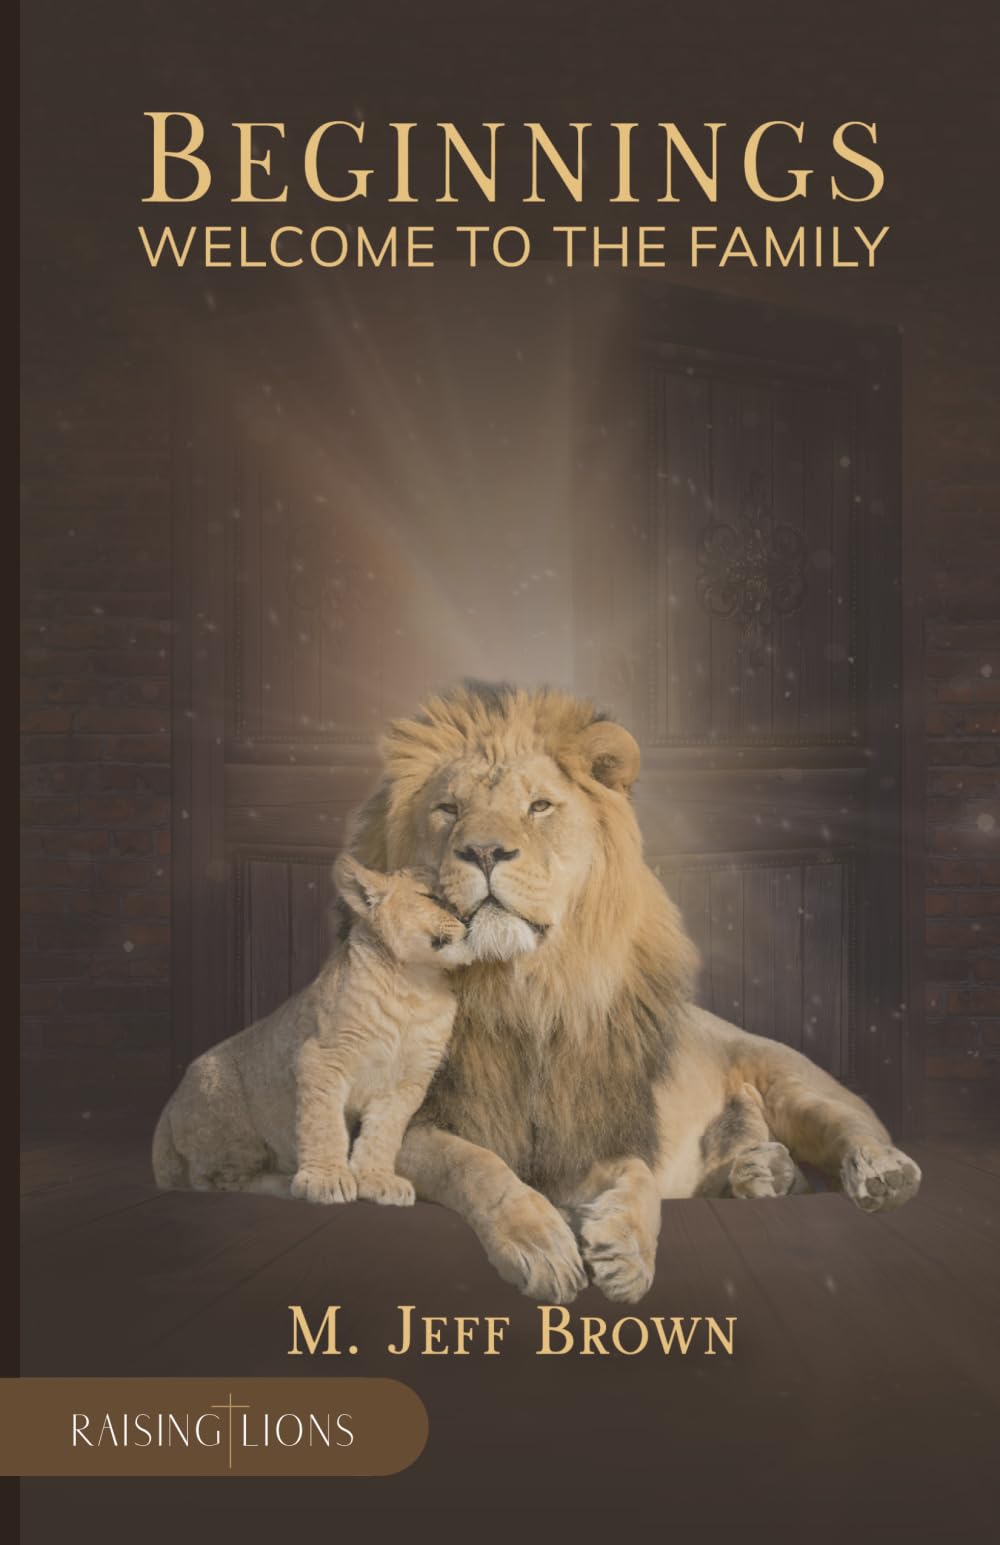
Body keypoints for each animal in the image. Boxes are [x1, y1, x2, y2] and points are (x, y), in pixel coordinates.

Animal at [338, 681, 921, 1304]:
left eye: (538, 807)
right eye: (448, 810)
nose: (485, 852)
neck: (523, 991)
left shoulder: (591, 1131)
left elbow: (637, 1175)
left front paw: (627, 1251)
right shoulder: (408, 1123)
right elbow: (477, 1165)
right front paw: (542, 1245)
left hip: (790, 1080)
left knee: (854, 1123)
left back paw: (880, 1172)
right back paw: (762, 1172)